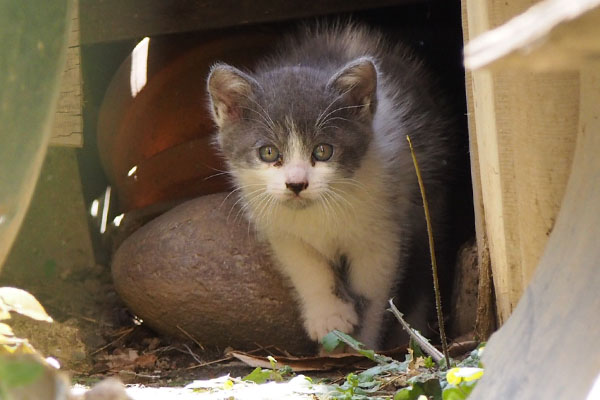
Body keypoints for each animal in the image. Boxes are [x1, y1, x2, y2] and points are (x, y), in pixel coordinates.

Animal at [209, 24, 458, 350]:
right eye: (269, 153)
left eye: (323, 151)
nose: (296, 184)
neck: (318, 212)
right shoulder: (278, 226)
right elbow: (306, 266)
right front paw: (328, 318)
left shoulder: (384, 228)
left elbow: (373, 291)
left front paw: (363, 342)